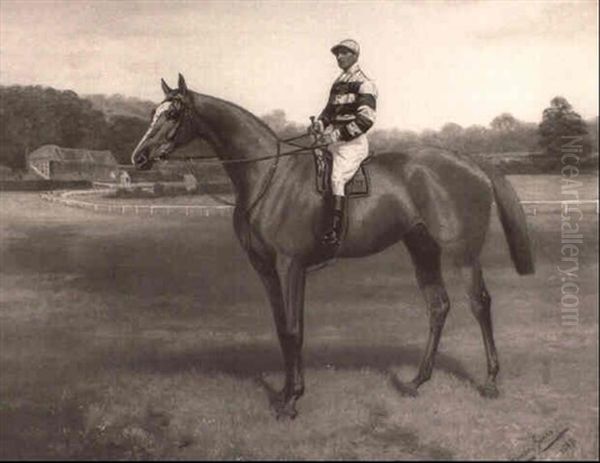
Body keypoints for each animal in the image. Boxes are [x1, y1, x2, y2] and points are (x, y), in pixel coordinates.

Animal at [131, 73, 536, 420]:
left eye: (173, 113)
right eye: (153, 113)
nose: (139, 157)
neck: (269, 177)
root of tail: (471, 161)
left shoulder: (290, 265)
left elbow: (293, 329)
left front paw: (291, 401)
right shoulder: (266, 269)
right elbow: (284, 329)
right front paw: (285, 392)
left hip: (462, 253)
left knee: (479, 303)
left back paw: (490, 381)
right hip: (422, 248)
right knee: (438, 306)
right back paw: (417, 381)